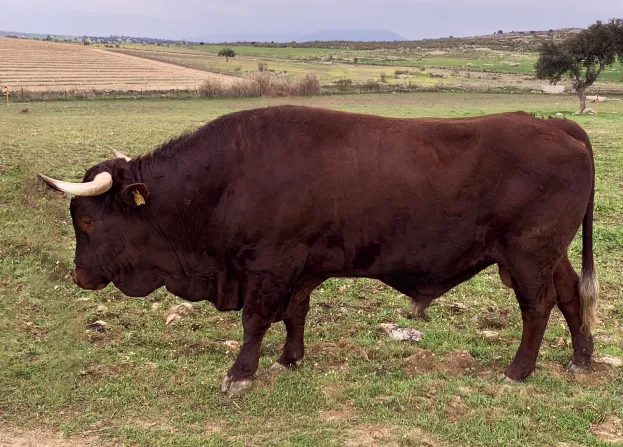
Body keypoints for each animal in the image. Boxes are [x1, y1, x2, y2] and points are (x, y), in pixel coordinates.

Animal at [40, 105, 600, 396]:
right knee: (571, 296)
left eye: (86, 218)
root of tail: (556, 123)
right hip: (550, 254)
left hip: (527, 254)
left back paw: (519, 369)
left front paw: (239, 374)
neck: (224, 179)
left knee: (538, 307)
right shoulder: (301, 267)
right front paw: (291, 358)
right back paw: (581, 359)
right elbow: (295, 312)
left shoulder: (269, 265)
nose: (80, 277)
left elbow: (257, 320)